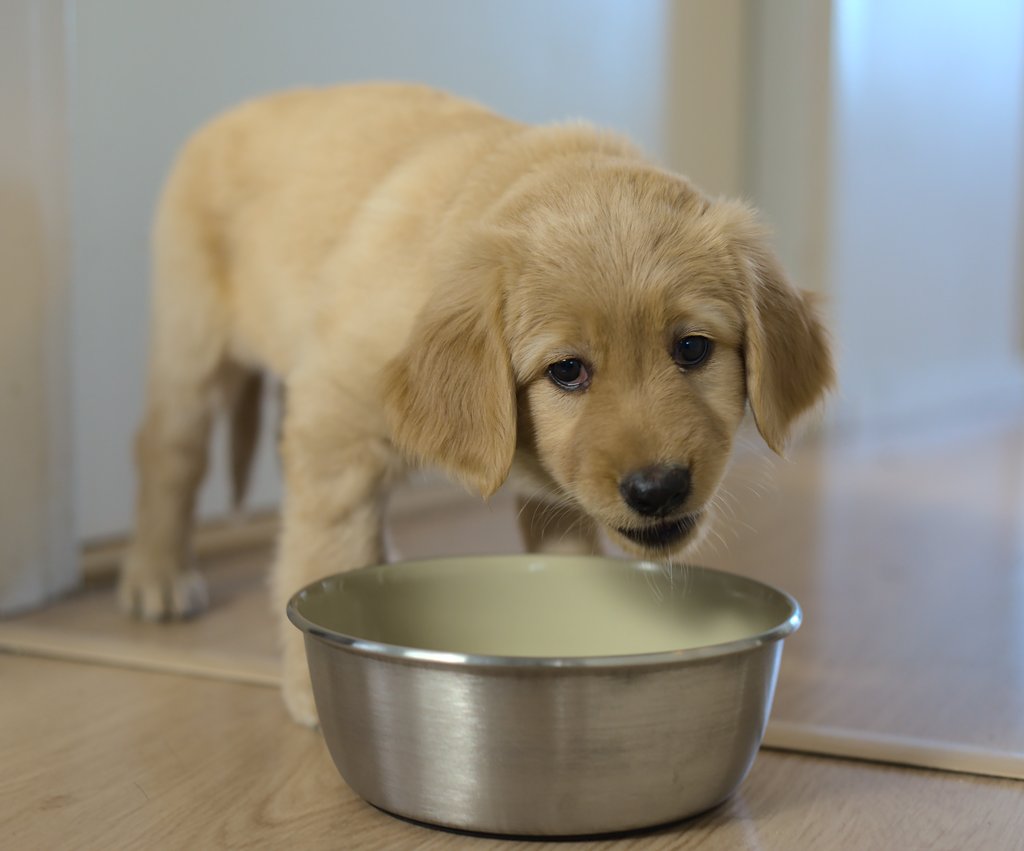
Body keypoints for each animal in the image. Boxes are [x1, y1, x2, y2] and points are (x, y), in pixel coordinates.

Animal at [119, 81, 831, 725]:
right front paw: (310, 688)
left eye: (691, 349)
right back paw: (158, 575)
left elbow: (566, 561)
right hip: (191, 344)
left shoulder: (555, 495)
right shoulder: (336, 420)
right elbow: (323, 546)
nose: (657, 490)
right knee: (168, 454)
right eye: (566, 371)